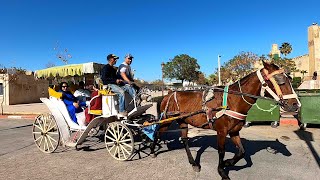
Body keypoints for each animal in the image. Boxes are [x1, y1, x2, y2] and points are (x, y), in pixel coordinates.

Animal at [150, 61, 300, 179]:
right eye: (280, 81)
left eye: (290, 79)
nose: (296, 104)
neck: (232, 100)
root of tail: (167, 94)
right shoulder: (221, 131)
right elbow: (221, 151)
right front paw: (222, 170)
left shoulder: (234, 131)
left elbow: (241, 152)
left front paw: (228, 163)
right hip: (167, 120)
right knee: (157, 132)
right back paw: (152, 150)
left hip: (183, 122)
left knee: (185, 140)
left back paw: (193, 163)